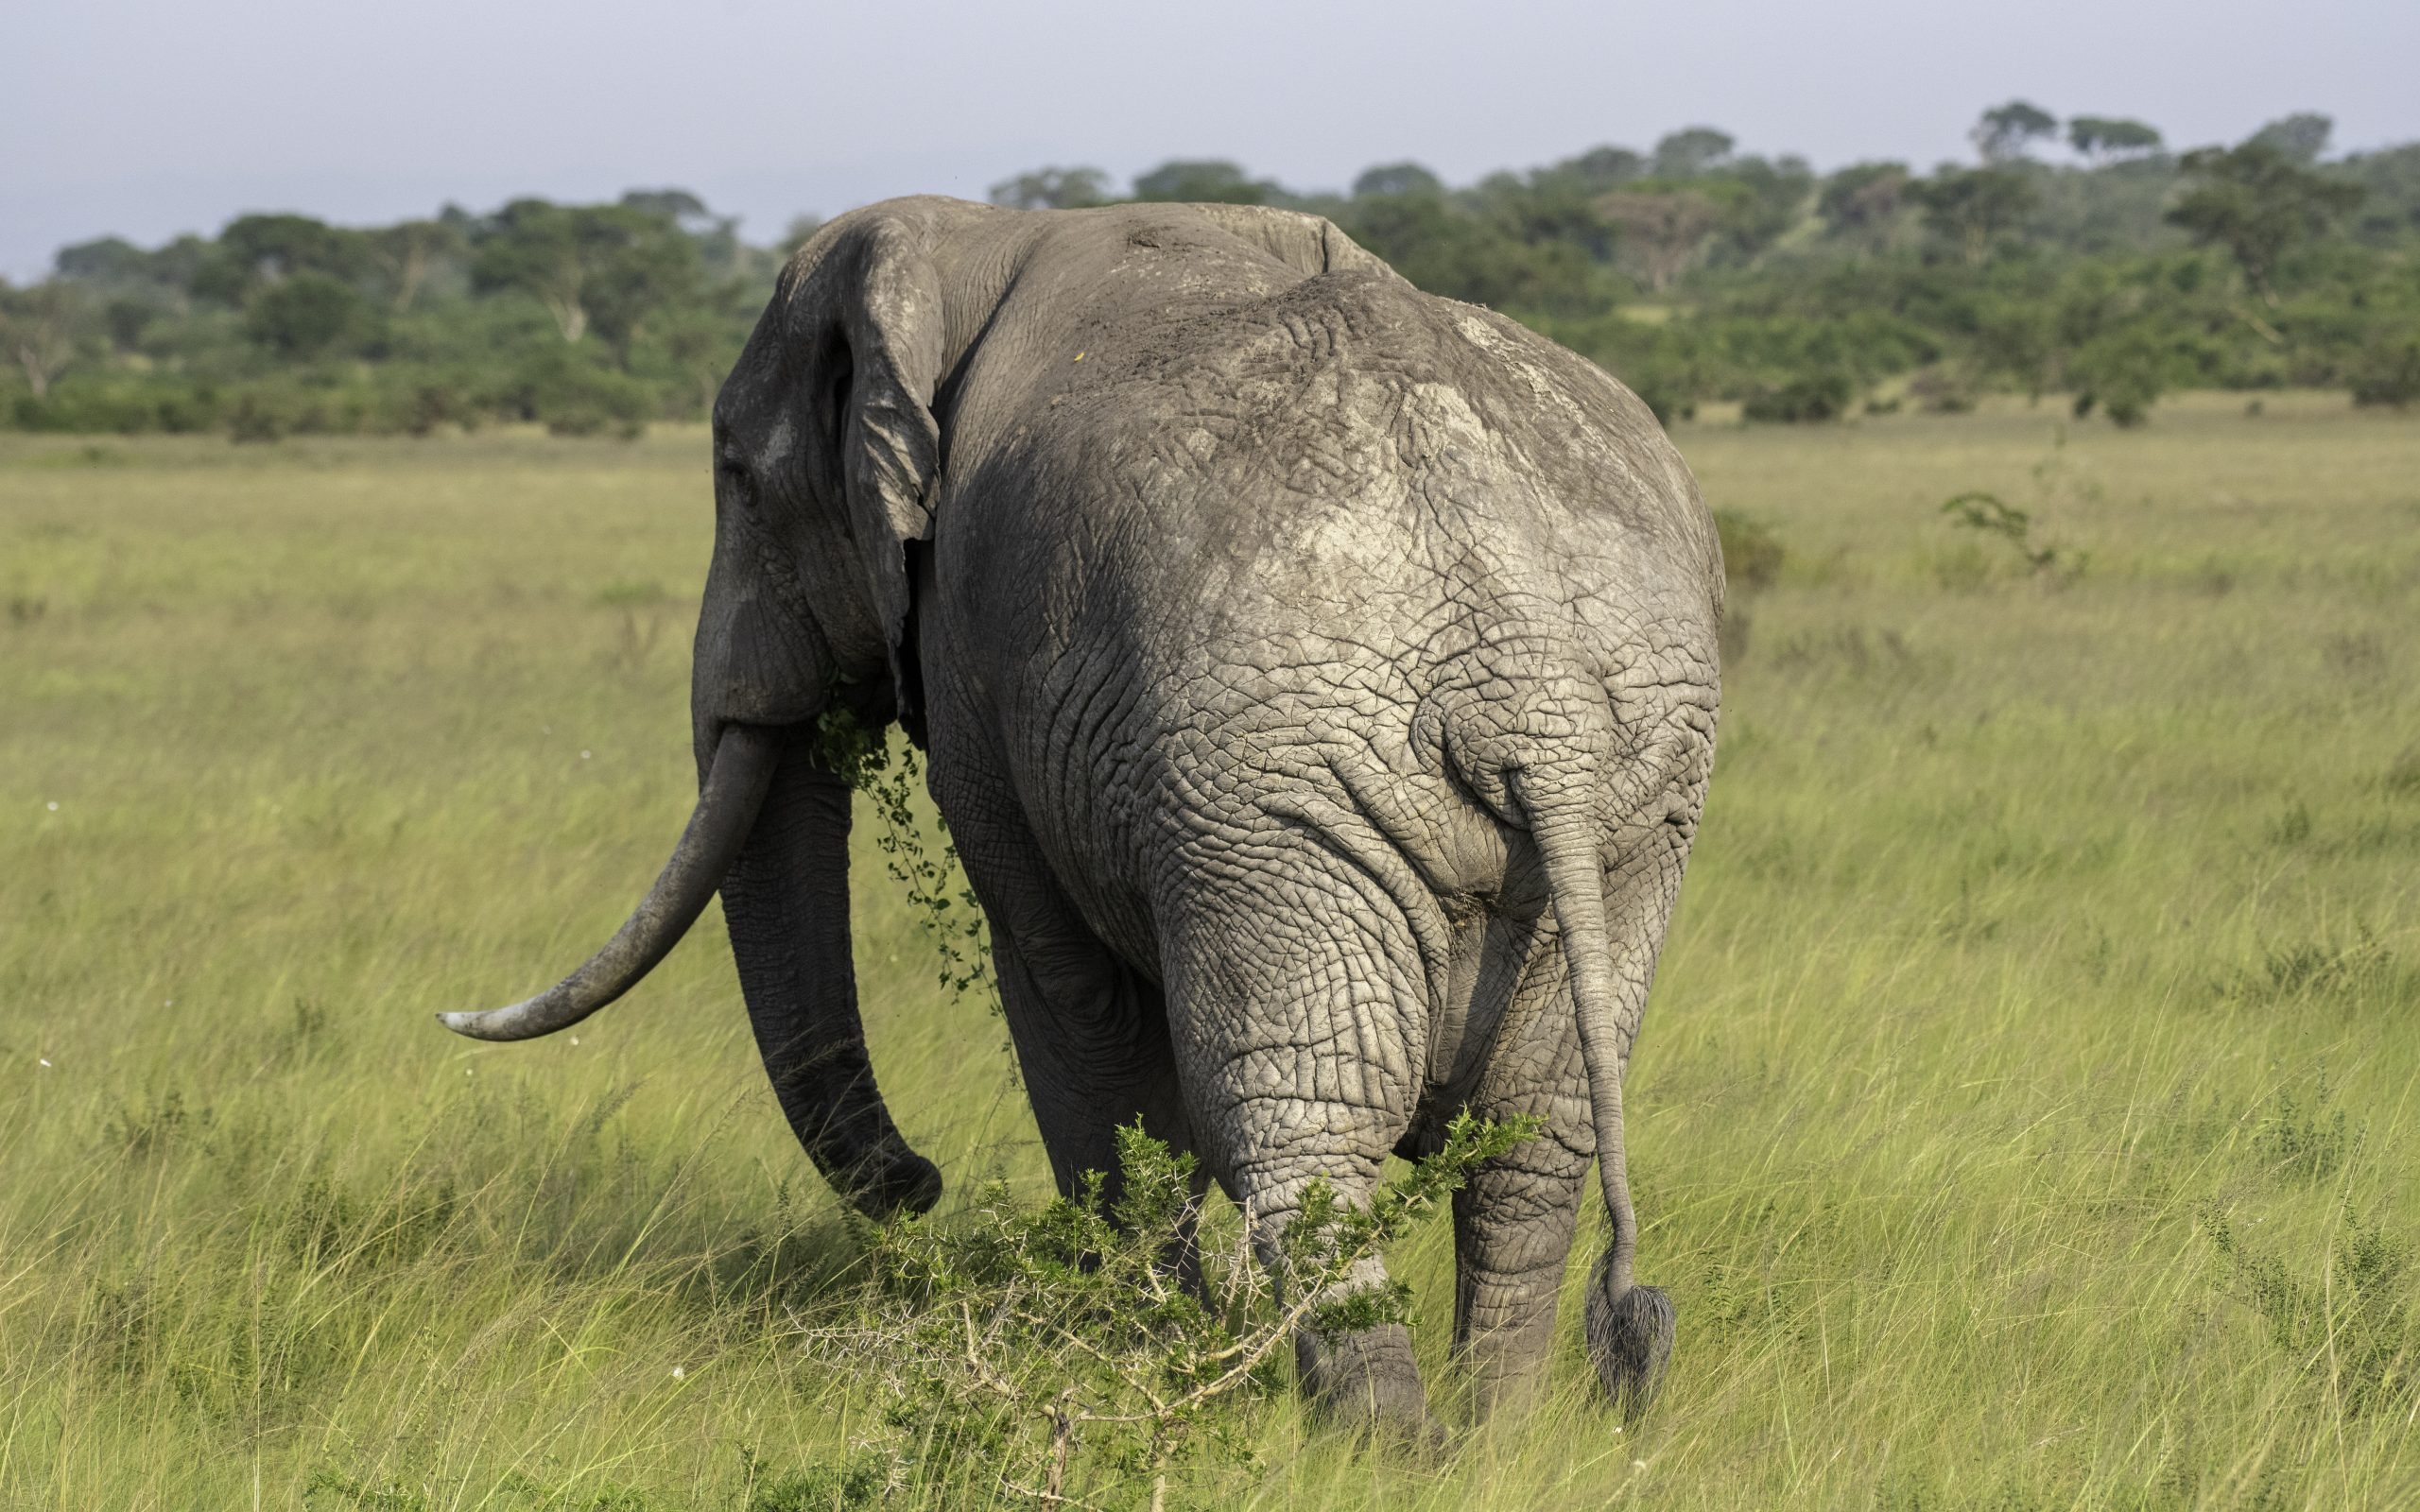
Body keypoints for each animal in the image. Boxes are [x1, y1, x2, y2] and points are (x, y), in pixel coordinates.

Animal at [444, 195, 1721, 1430]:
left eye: (736, 476)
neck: (968, 240)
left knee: (1300, 1108)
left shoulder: (972, 653)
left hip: (1272, 776)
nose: (916, 1183)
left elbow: (1069, 995)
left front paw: (1140, 1350)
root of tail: (1522, 675)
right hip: (1630, 810)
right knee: (1534, 1127)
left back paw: (1379, 1442)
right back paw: (1491, 1439)